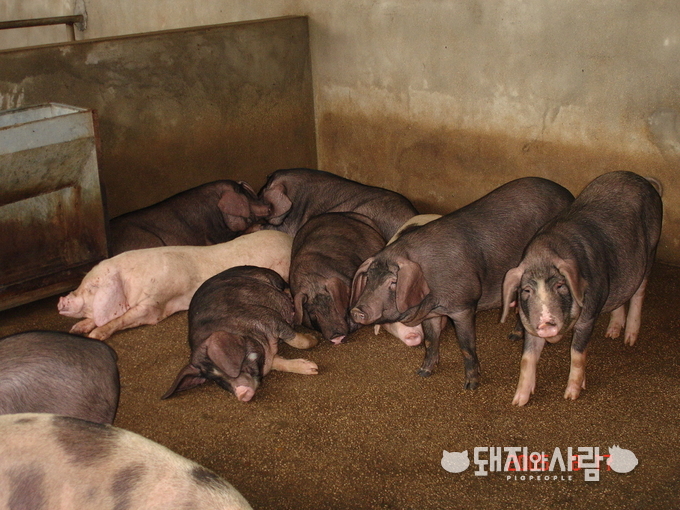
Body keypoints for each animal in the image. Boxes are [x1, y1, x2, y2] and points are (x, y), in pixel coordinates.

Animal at [58, 230, 293, 340]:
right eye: (82, 283)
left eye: (91, 288)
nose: (61, 300)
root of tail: (290, 238)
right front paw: (76, 329)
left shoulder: (155, 304)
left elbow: (127, 317)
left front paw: (95, 335)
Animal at [162, 265, 319, 403]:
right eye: (218, 380)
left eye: (233, 366)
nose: (242, 394)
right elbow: (279, 362)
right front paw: (313, 369)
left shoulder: (270, 318)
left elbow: (298, 341)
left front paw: (314, 340)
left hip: (274, 279)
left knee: (285, 288)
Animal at [501, 171, 663, 406]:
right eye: (526, 290)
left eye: (560, 285)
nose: (546, 322)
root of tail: (641, 179)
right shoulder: (530, 324)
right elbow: (527, 359)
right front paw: (518, 401)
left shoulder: (588, 316)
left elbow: (577, 354)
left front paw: (571, 396)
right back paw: (612, 334)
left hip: (651, 251)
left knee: (638, 293)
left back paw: (629, 340)